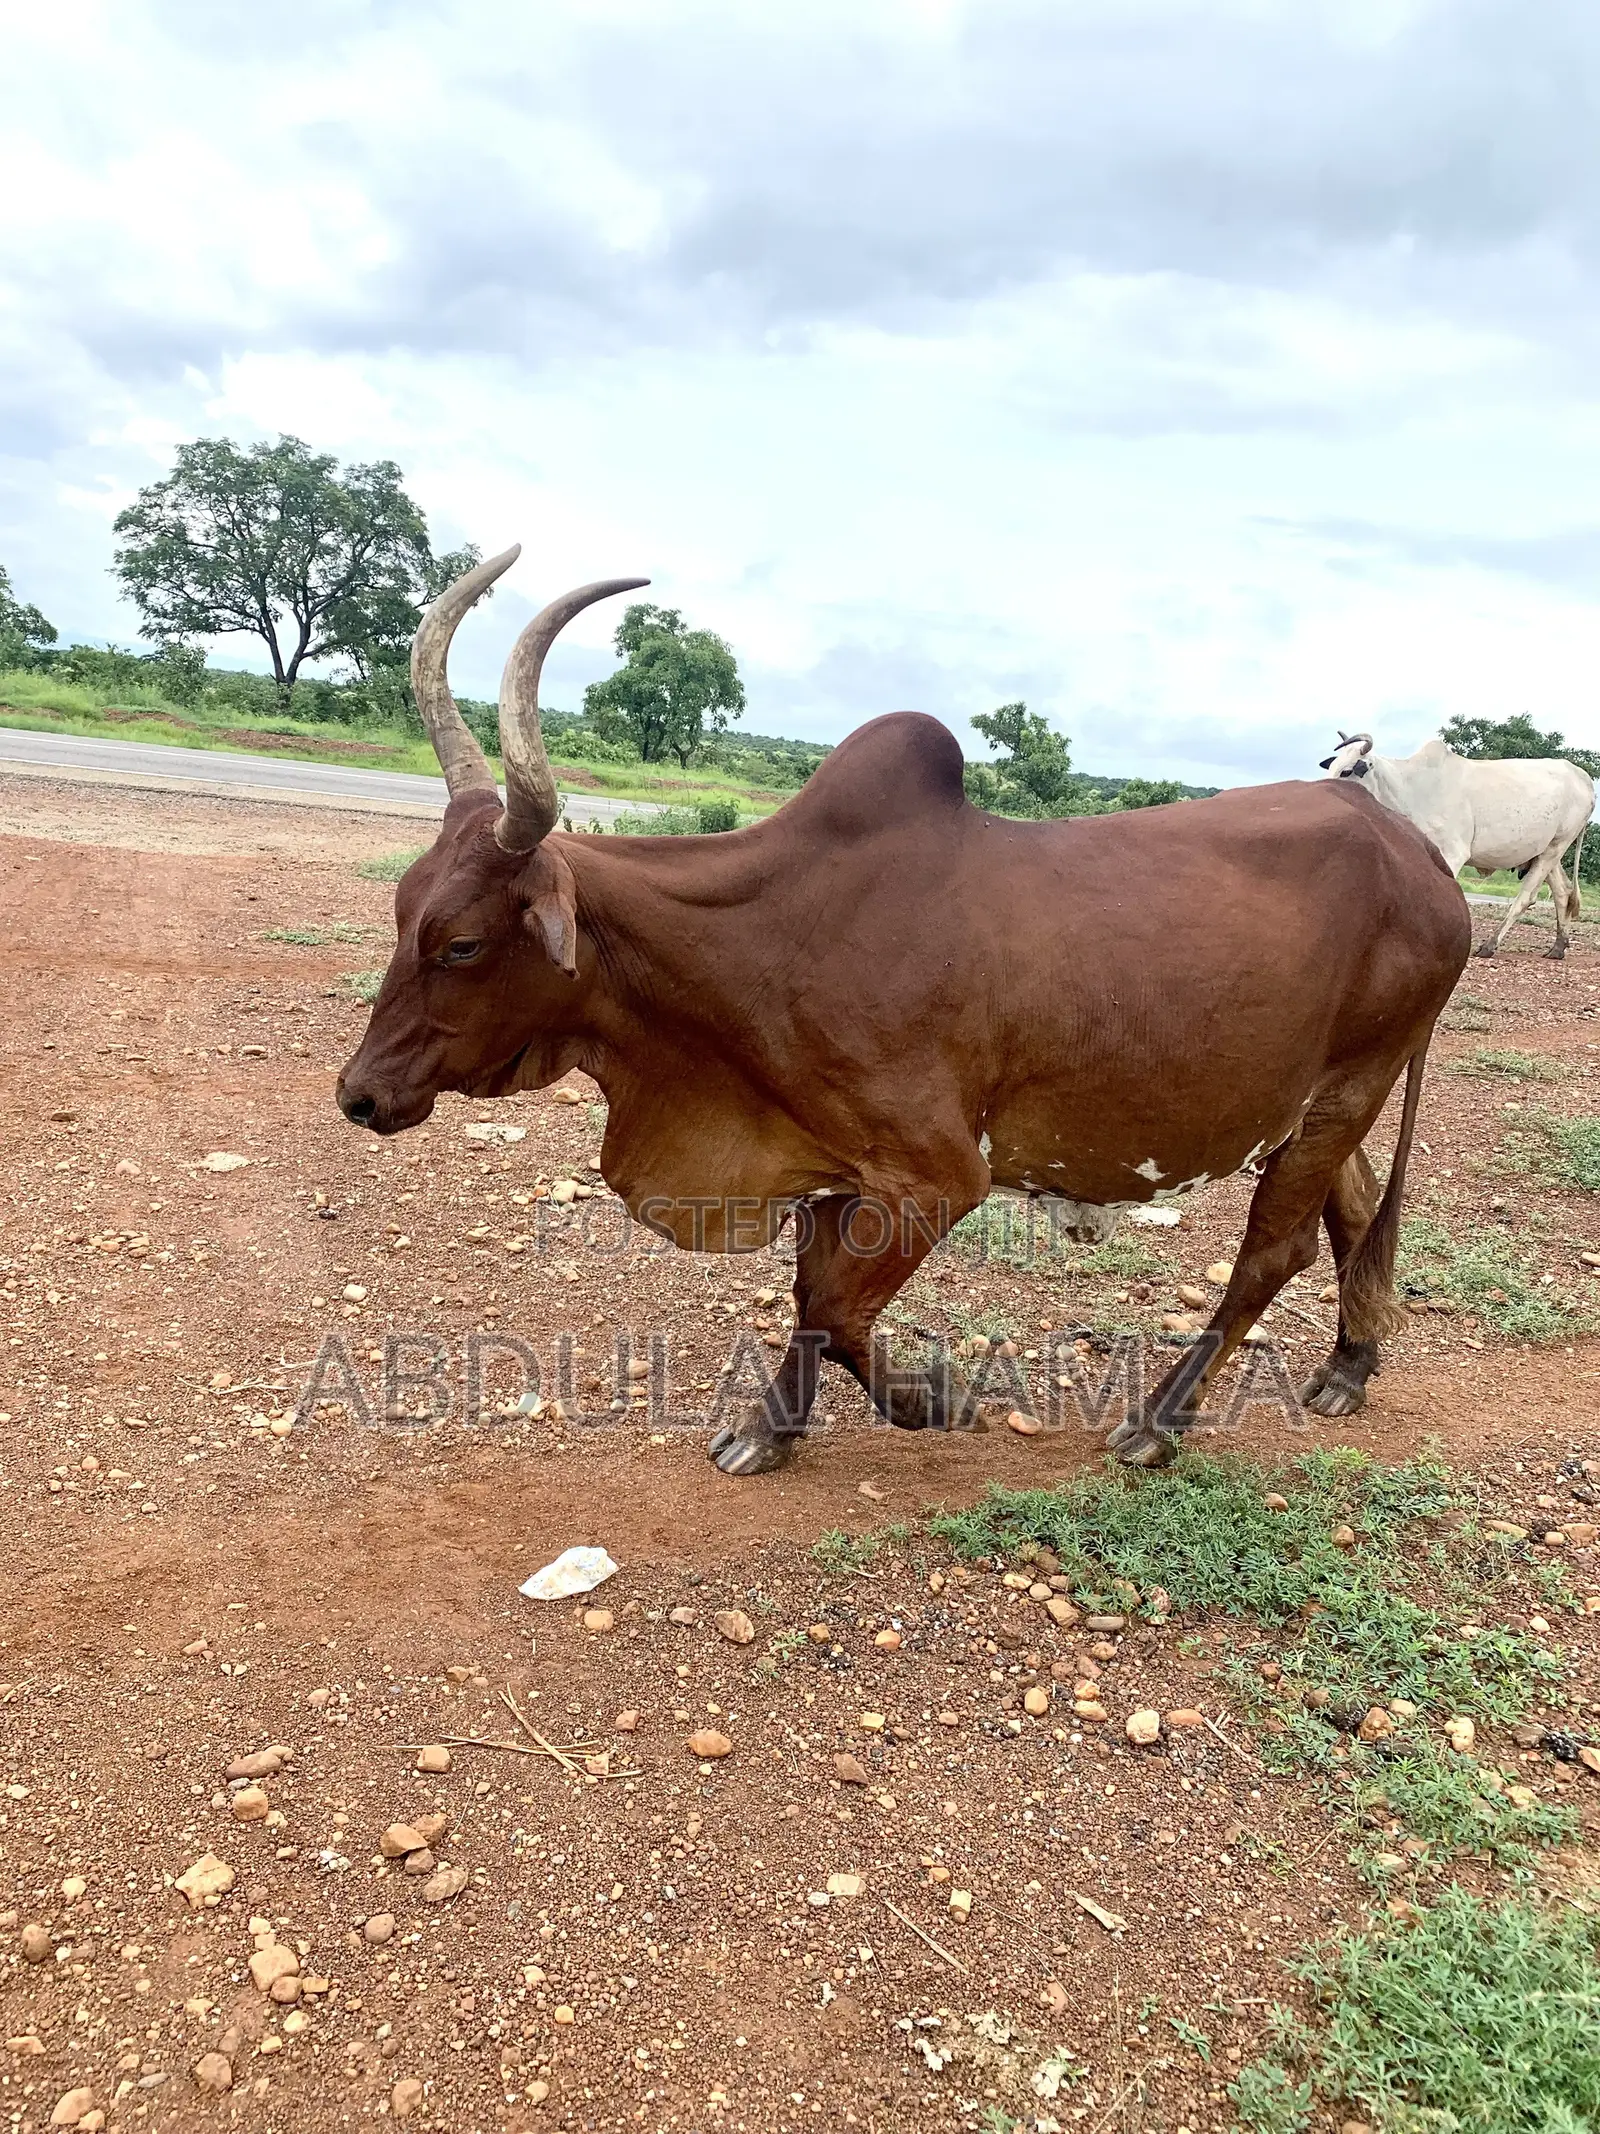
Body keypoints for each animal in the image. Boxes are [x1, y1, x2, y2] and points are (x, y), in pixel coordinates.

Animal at [337, 549, 1471, 1475]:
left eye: (462, 942)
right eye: (399, 912)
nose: (358, 1096)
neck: (759, 947)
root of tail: (1417, 850)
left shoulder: (935, 1177)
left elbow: (839, 1309)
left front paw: (934, 1401)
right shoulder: (828, 1165)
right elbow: (812, 1300)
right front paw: (774, 1431)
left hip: (1352, 1084)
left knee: (1272, 1253)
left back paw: (1159, 1420)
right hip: (1320, 1101)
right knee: (1353, 1210)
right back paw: (1350, 1364)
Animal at [1319, 733, 1595, 960]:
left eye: (1346, 771)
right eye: (1331, 766)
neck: (1409, 787)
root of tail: (1584, 779)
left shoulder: (1452, 852)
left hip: (1556, 846)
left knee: (1526, 897)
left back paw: (1490, 945)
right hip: (1546, 852)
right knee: (1563, 892)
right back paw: (1558, 947)